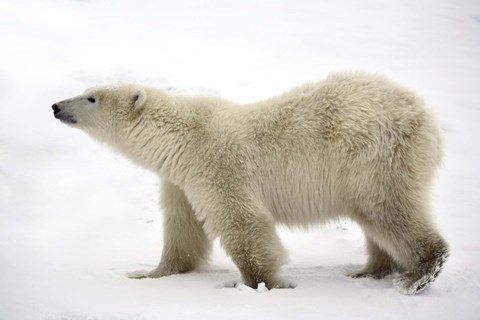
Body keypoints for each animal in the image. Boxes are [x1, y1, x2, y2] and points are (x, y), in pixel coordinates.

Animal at [53, 72, 450, 296]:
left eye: (91, 97)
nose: (56, 106)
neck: (181, 137)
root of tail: (425, 114)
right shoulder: (179, 181)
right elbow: (183, 230)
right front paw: (150, 274)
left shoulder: (216, 165)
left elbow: (242, 223)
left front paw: (259, 285)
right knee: (375, 220)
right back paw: (368, 270)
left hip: (375, 158)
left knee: (389, 210)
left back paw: (418, 275)